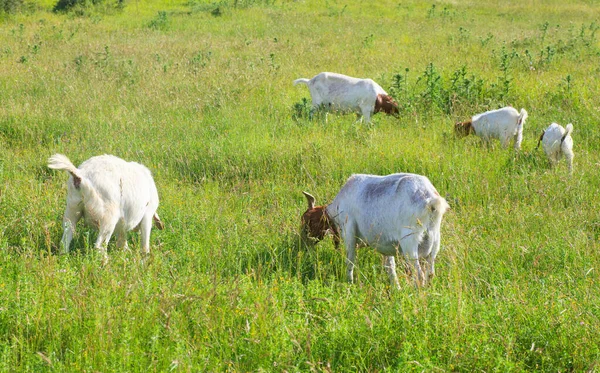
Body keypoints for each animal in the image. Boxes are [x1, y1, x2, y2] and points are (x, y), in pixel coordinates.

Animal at [302, 173, 448, 290]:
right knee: (430, 273)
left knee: (419, 275)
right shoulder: (388, 245)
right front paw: (397, 288)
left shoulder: (349, 230)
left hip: (410, 243)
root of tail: (431, 201)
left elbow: (350, 261)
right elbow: (390, 267)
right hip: (434, 243)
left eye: (308, 222)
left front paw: (349, 283)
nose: (304, 244)